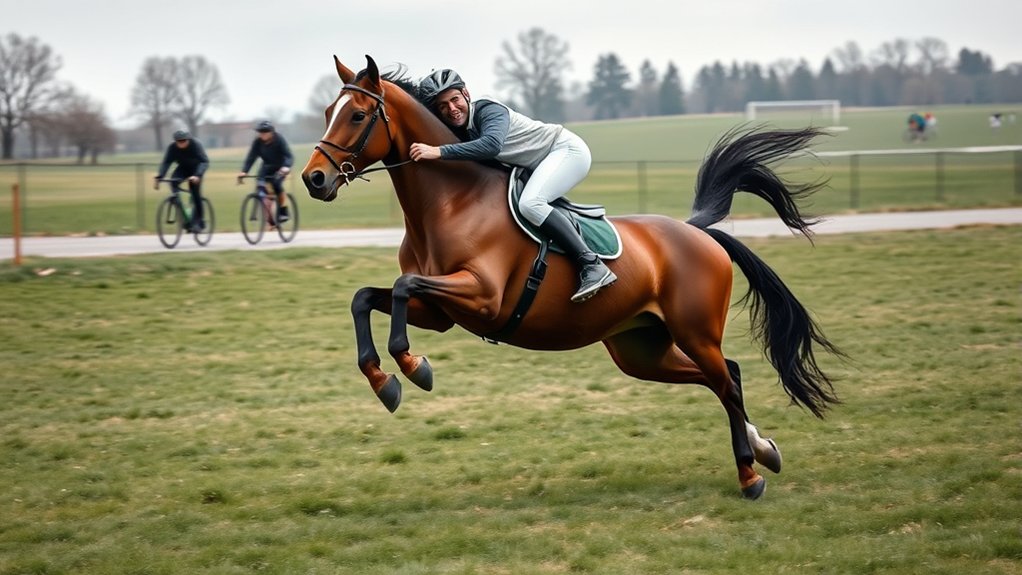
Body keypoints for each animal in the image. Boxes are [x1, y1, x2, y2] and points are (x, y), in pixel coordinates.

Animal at [301, 55, 841, 499]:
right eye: (328, 109)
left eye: (356, 115)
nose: (313, 179)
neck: (451, 202)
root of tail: (696, 231)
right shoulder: (441, 312)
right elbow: (366, 297)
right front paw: (384, 381)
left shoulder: (481, 297)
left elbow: (398, 289)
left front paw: (413, 368)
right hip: (641, 350)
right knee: (724, 376)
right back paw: (764, 450)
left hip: (694, 331)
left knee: (726, 381)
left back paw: (749, 475)